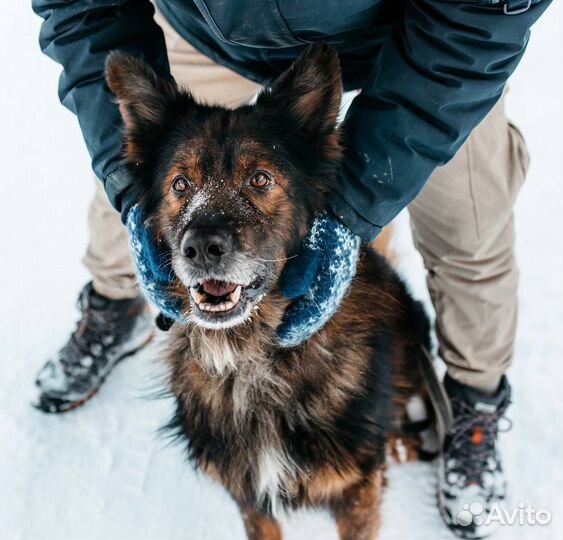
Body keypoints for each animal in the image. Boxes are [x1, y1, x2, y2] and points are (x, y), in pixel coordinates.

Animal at [106, 44, 432, 540]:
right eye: (181, 184)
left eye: (260, 179)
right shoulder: (248, 495)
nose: (201, 247)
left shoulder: (356, 490)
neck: (253, 361)